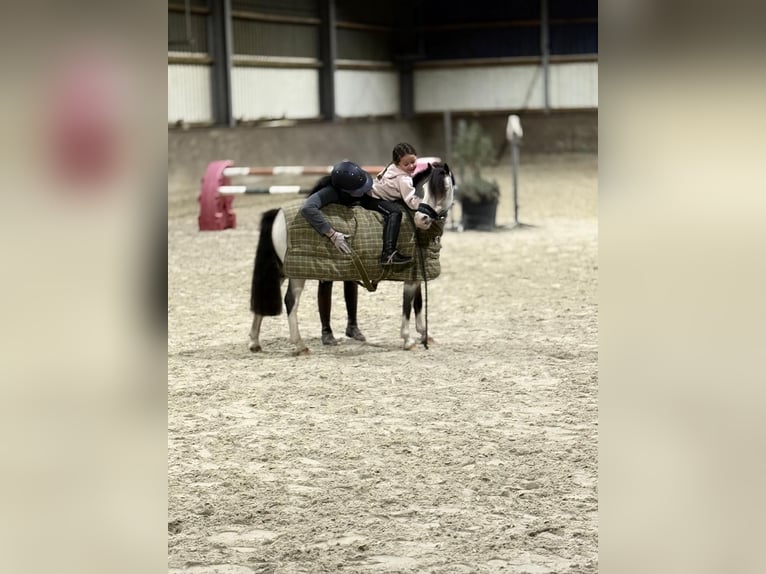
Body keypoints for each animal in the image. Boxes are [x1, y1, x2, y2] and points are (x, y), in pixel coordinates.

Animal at [248, 162, 455, 355]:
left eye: (444, 188)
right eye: (424, 189)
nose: (422, 219)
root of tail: (279, 212)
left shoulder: (417, 273)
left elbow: (417, 304)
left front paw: (425, 335)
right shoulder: (411, 276)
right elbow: (407, 306)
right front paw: (408, 340)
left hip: (282, 269)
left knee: (265, 294)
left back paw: (254, 342)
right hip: (297, 273)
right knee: (291, 301)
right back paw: (300, 345)